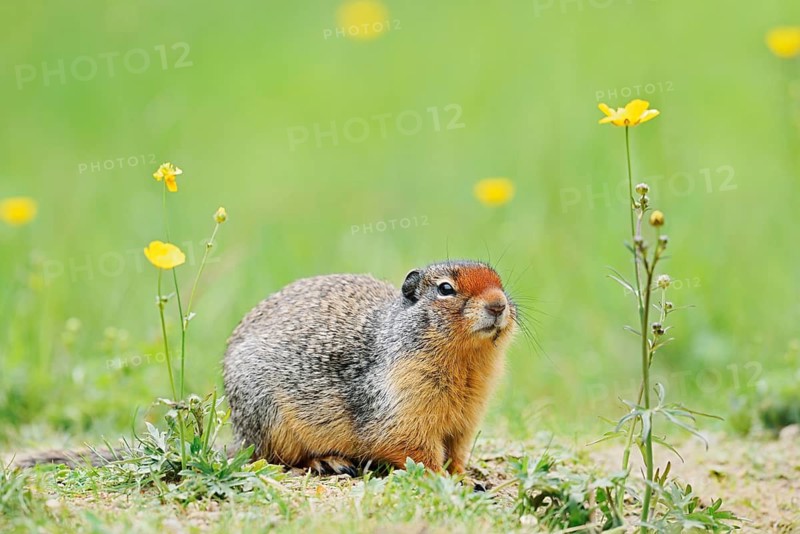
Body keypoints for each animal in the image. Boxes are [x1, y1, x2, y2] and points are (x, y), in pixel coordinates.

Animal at [223, 260, 517, 475]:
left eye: (500, 282)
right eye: (445, 289)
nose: (498, 304)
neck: (468, 364)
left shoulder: (467, 418)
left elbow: (456, 452)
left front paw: (464, 478)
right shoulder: (402, 401)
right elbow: (412, 447)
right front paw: (441, 478)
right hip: (269, 419)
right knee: (272, 457)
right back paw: (328, 462)